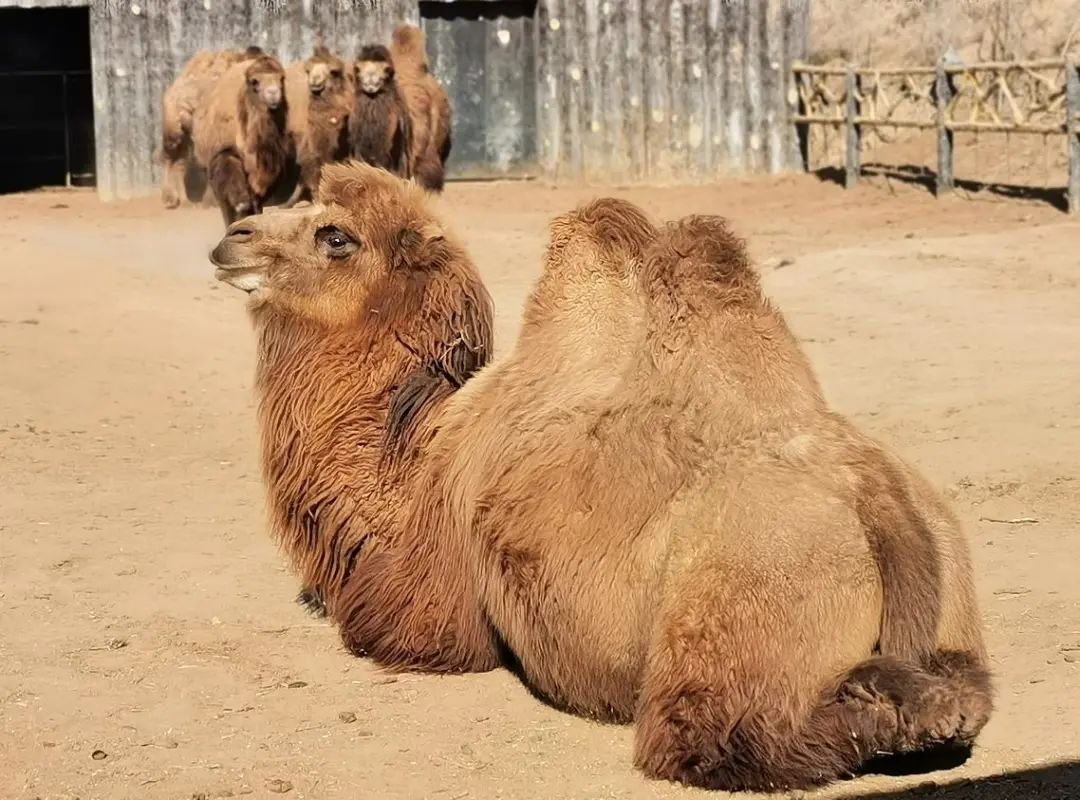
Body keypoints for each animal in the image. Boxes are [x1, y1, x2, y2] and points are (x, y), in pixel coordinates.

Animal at [206, 161, 989, 794]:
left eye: (335, 235)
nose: (230, 238)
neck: (419, 447)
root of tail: (877, 499)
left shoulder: (432, 610)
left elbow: (382, 628)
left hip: (747, 590)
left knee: (720, 737)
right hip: (951, 582)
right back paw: (933, 704)